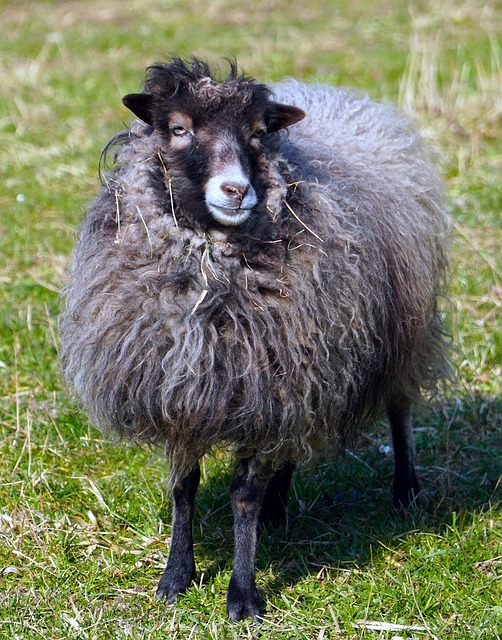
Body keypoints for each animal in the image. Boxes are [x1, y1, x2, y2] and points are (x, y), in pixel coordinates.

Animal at [59, 56, 452, 620]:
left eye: (257, 134)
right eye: (177, 128)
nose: (235, 191)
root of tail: (334, 94)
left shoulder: (264, 383)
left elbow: (242, 494)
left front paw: (242, 596)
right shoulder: (188, 389)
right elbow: (184, 487)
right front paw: (176, 577)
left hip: (400, 331)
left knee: (400, 407)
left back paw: (406, 490)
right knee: (291, 442)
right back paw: (279, 505)